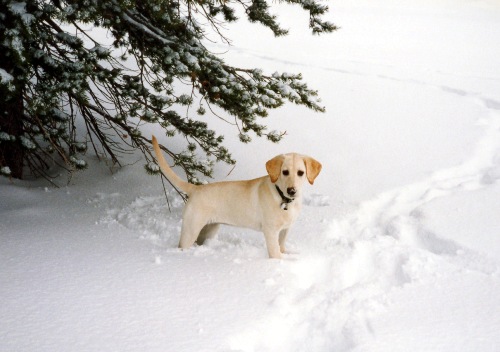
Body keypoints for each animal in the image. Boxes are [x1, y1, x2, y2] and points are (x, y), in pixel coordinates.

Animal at [150, 135, 322, 258]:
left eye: (301, 173)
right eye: (285, 172)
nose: (292, 190)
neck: (284, 199)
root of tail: (196, 188)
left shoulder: (285, 229)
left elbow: (282, 247)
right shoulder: (271, 231)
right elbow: (276, 254)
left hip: (208, 229)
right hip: (190, 230)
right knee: (182, 245)